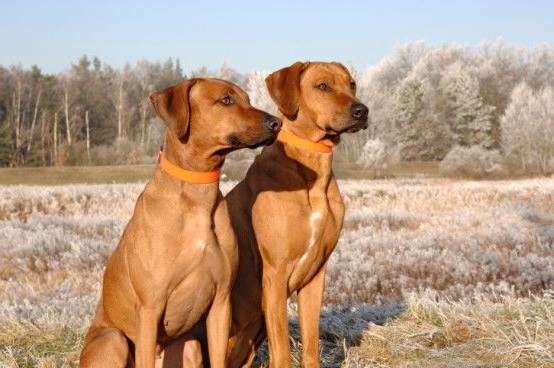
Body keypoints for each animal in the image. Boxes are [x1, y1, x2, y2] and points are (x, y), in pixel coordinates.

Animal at [78, 77, 280, 368]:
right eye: (226, 100)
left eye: (248, 99)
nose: (277, 122)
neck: (196, 197)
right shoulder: (149, 308)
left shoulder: (221, 303)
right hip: (112, 340)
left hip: (189, 345)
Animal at [222, 61, 368, 366]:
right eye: (322, 86)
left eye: (352, 84)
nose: (362, 110)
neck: (312, 168)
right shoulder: (274, 276)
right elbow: (282, 351)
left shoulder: (316, 274)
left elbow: (311, 342)